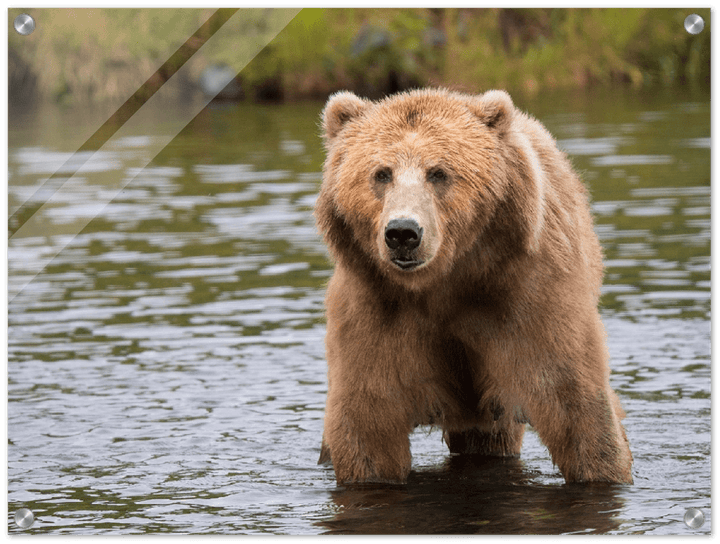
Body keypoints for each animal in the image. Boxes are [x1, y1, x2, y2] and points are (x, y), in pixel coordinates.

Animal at [314, 88, 633, 485]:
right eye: (381, 173)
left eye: (438, 173)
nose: (403, 232)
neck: (446, 281)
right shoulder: (375, 309)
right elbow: (368, 422)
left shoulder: (528, 296)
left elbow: (574, 402)